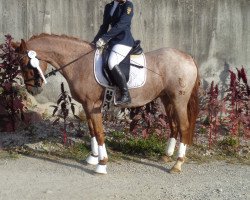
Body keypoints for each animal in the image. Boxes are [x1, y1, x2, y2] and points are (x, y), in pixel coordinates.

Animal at [13, 34, 199, 173]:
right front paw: (92, 158)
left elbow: (99, 132)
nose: (32, 90)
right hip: (167, 98)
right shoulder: (87, 107)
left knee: (183, 126)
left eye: (24, 63)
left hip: (179, 100)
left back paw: (177, 164)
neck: (80, 63)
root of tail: (187, 57)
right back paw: (167, 156)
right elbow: (92, 131)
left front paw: (101, 164)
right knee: (174, 125)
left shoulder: (93, 106)